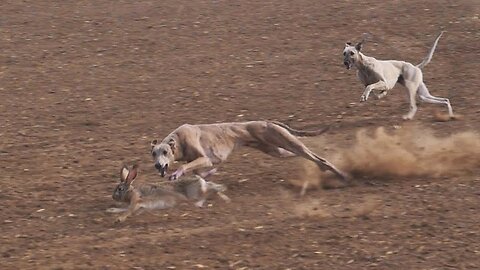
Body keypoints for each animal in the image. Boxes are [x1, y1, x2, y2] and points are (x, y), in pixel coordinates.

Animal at [150, 121, 348, 195]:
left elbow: (185, 167)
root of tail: (269, 122)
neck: (177, 140)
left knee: (317, 157)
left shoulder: (204, 158)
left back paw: (342, 175)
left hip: (287, 142)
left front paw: (175, 174)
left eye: (165, 152)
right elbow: (200, 174)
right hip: (277, 150)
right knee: (306, 156)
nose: (158, 166)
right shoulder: (201, 164)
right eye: (153, 153)